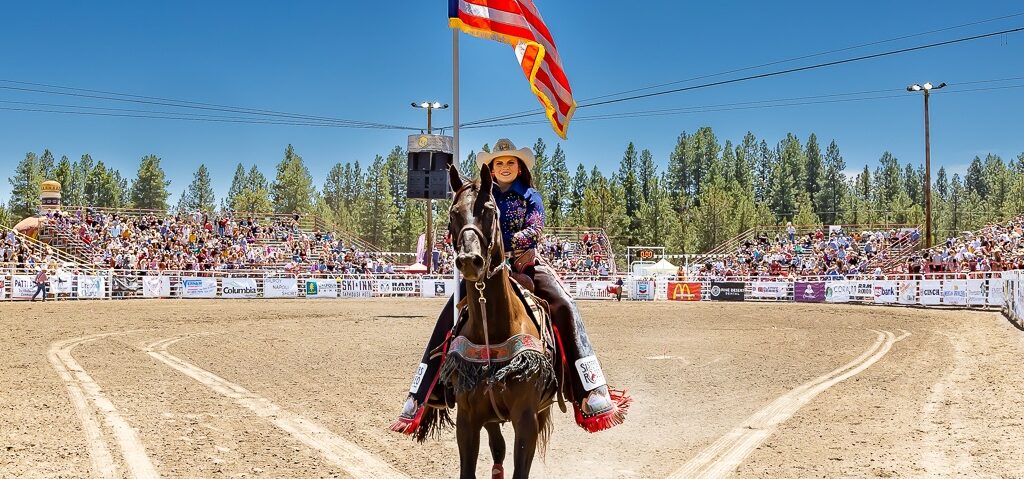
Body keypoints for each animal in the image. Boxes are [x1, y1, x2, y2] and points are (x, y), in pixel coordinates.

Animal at [438, 162, 552, 476]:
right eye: (454, 212)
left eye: (490, 210)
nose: (469, 260)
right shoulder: (467, 420)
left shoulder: (526, 420)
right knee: (497, 447)